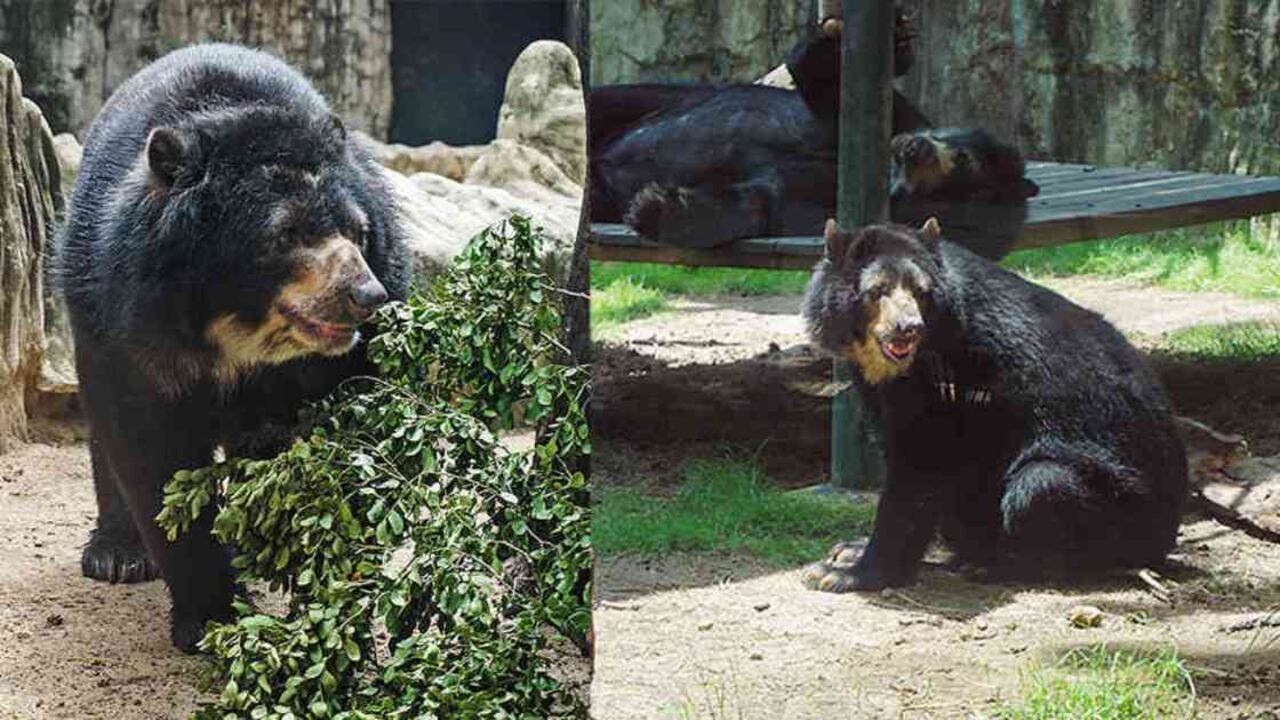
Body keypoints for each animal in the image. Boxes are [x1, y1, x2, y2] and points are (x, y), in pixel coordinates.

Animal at [54, 43, 410, 651]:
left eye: (359, 231)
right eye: (287, 233)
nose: (366, 295)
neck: (238, 331)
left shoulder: (339, 360)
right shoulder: (127, 320)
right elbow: (151, 453)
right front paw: (211, 617)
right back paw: (116, 554)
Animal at [800, 218, 1187, 591]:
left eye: (920, 292)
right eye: (876, 291)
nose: (907, 328)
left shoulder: (953, 368)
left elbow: (922, 458)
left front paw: (844, 574)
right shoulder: (877, 381)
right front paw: (850, 550)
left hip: (1124, 511)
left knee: (1042, 484)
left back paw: (998, 564)